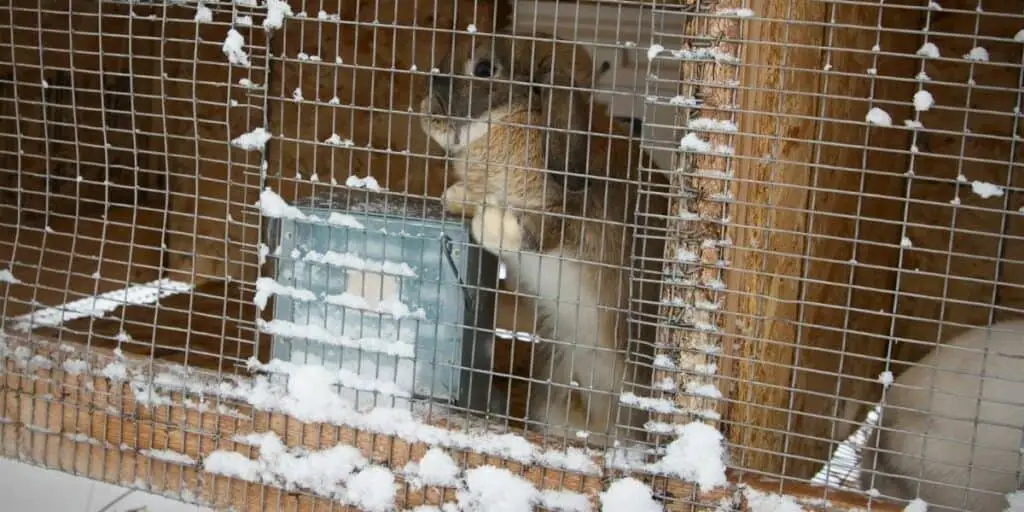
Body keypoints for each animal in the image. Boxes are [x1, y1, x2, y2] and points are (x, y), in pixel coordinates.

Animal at [419, 33, 651, 444]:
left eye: (484, 68)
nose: (428, 97)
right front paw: (457, 196)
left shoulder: (572, 217)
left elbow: (528, 228)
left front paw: (489, 218)